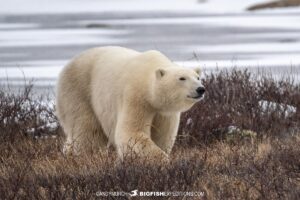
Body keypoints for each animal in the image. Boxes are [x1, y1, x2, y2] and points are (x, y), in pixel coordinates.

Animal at [55, 46, 205, 160]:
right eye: (182, 78)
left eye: (197, 77)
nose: (200, 89)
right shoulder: (135, 97)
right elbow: (132, 132)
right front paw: (162, 159)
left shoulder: (164, 112)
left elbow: (163, 135)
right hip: (78, 90)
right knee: (87, 130)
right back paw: (89, 156)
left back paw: (67, 152)